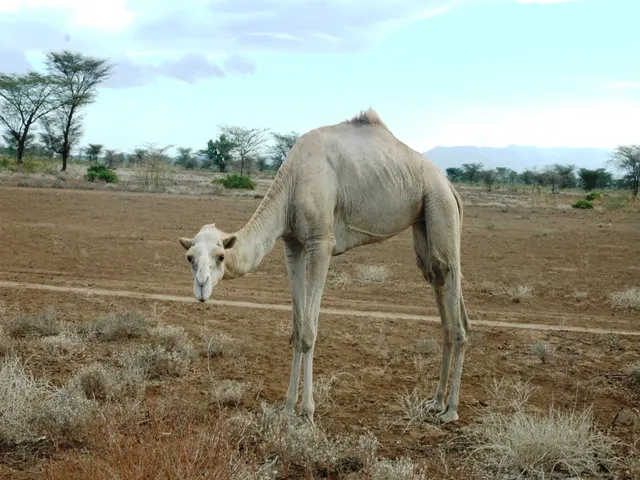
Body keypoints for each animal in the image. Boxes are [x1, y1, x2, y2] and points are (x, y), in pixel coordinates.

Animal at [178, 108, 470, 425]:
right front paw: (287, 406)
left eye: (220, 256)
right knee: (437, 280)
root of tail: (450, 186)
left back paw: (451, 409)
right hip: (423, 222)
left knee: (451, 283)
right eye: (190, 257)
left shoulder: (321, 243)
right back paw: (436, 401)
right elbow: (296, 328)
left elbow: (309, 332)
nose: (202, 287)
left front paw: (307, 410)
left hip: (440, 207)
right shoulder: (292, 244)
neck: (290, 185)